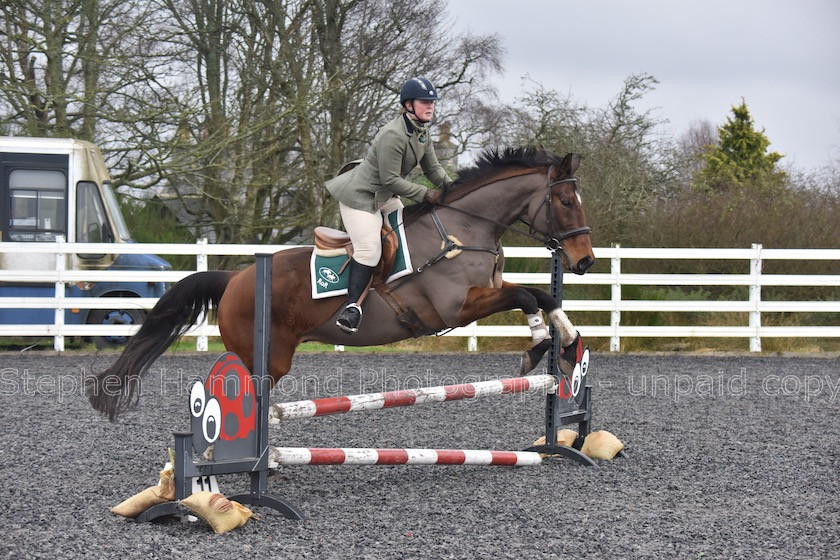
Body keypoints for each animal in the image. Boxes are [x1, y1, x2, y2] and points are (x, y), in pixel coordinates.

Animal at [88, 149, 592, 420]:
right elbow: (526, 295)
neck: (462, 228)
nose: (585, 261)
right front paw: (537, 345)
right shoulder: (456, 308)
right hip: (266, 357)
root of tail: (235, 278)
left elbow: (542, 293)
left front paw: (568, 343)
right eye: (567, 202)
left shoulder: (485, 292)